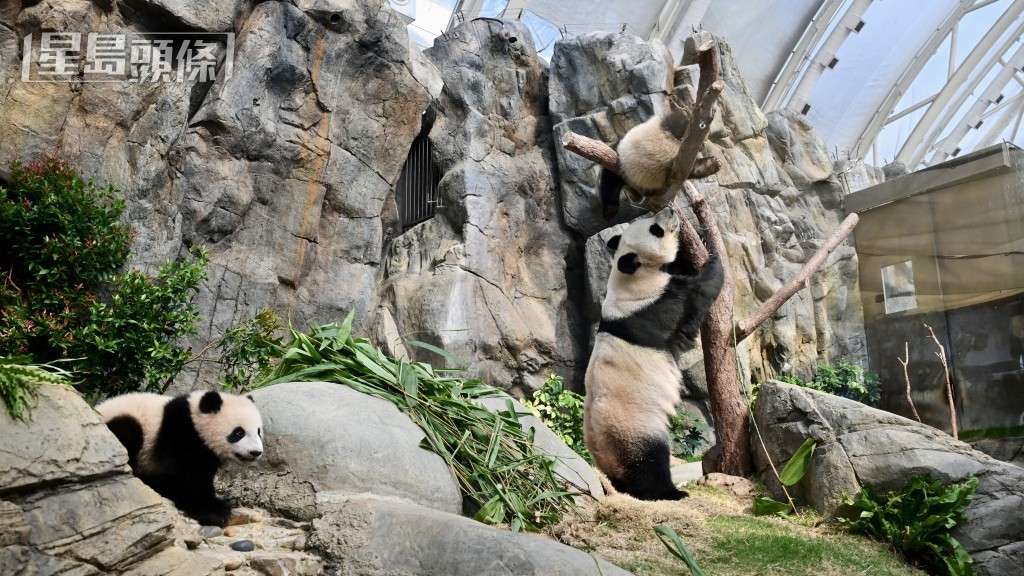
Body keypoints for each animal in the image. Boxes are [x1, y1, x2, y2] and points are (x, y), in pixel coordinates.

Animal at [96, 387, 264, 522]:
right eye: (239, 432)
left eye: (258, 431)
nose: (256, 452)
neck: (195, 417)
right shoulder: (181, 431)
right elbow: (186, 475)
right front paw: (216, 510)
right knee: (127, 432)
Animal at [585, 206, 729, 498]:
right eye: (655, 229)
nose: (670, 210)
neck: (630, 276)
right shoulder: (656, 304)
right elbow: (700, 292)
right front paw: (712, 256)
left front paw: (700, 236)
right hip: (635, 428)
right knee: (649, 462)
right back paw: (671, 493)